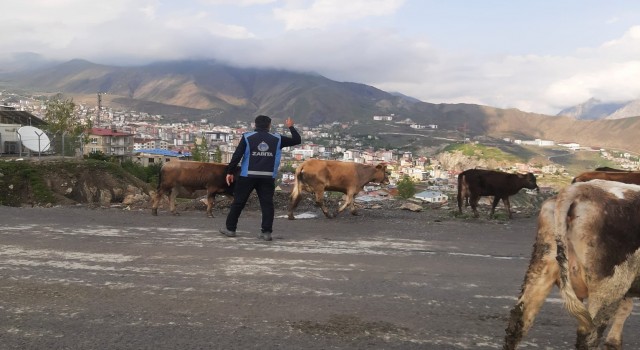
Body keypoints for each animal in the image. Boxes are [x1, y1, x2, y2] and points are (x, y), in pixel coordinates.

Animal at [502, 180, 640, 350]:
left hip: (542, 265)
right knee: (589, 334)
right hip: (610, 286)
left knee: (519, 318)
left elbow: (624, 310)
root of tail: (582, 188)